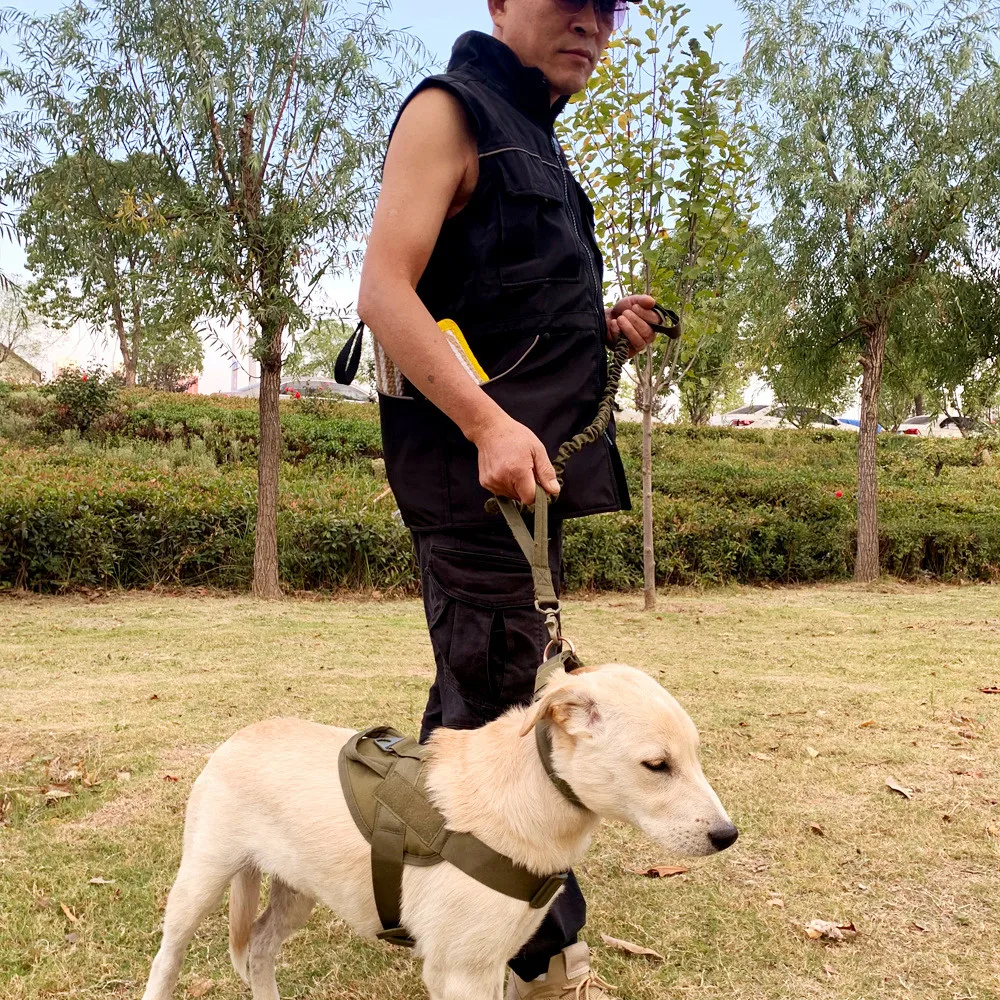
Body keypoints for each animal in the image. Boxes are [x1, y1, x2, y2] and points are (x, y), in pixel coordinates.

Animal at [141, 664, 737, 1000]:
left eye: (696, 755)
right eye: (656, 765)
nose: (727, 835)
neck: (529, 795)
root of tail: (237, 738)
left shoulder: (494, 961)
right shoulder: (459, 972)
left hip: (298, 889)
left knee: (260, 950)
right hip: (202, 879)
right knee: (168, 958)